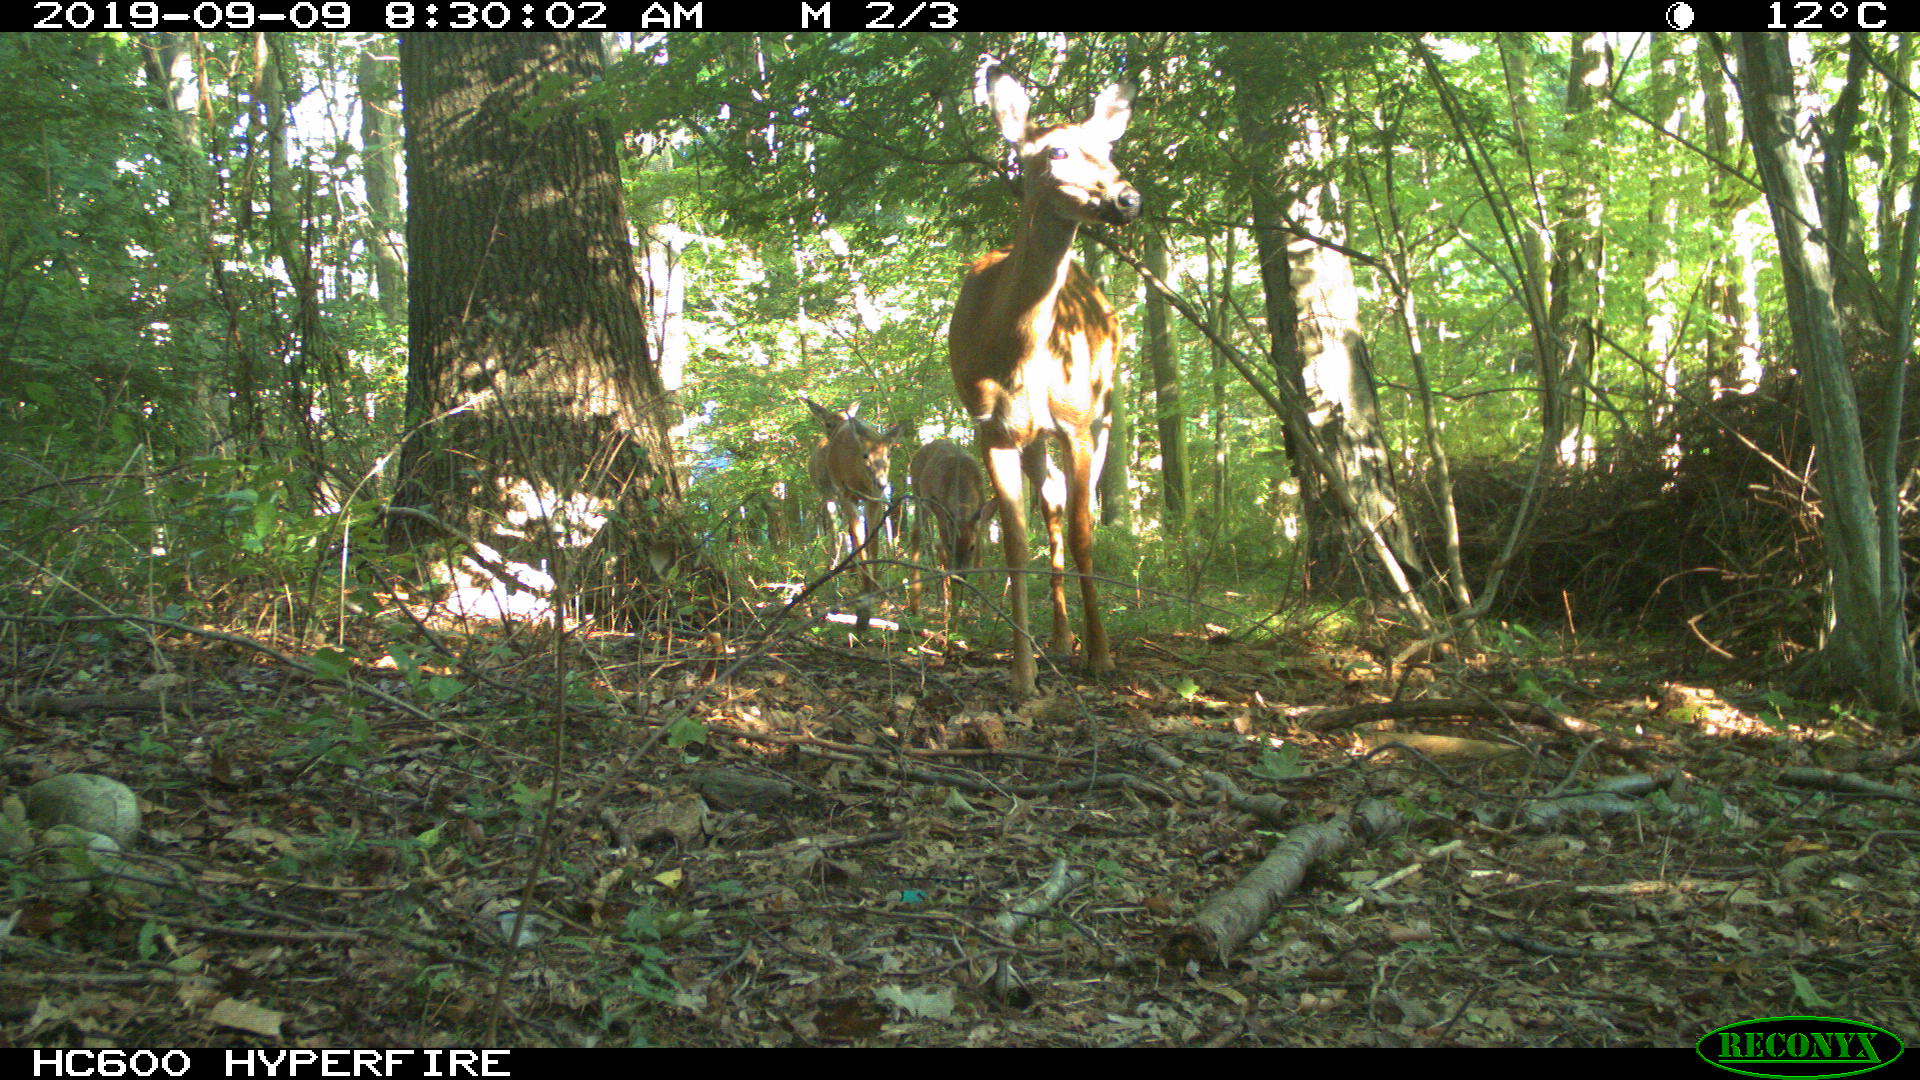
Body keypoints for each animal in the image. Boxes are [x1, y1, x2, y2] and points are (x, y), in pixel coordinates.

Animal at [804, 397, 906, 631]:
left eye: (888, 454)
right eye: (865, 455)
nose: (882, 482)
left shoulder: (873, 498)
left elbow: (872, 543)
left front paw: (872, 594)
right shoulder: (845, 494)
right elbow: (858, 540)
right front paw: (863, 605)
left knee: (844, 534)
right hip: (830, 496)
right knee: (837, 536)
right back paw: (835, 582)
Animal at [907, 439, 998, 620]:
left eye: (971, 547)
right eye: (951, 546)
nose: (959, 577)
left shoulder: (979, 522)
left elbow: (979, 561)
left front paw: (984, 613)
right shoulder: (943, 522)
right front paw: (954, 616)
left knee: (935, 545)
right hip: (920, 496)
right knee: (916, 534)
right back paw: (916, 606)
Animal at [947, 63, 1139, 696]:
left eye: (1109, 149)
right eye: (1055, 150)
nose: (1129, 197)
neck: (1015, 354)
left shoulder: (1076, 422)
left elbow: (1084, 533)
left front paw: (1102, 657)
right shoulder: (992, 428)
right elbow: (1015, 541)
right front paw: (1023, 672)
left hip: (1104, 411)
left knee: (1074, 510)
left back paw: (1079, 643)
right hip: (1035, 437)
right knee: (1051, 500)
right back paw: (1057, 640)